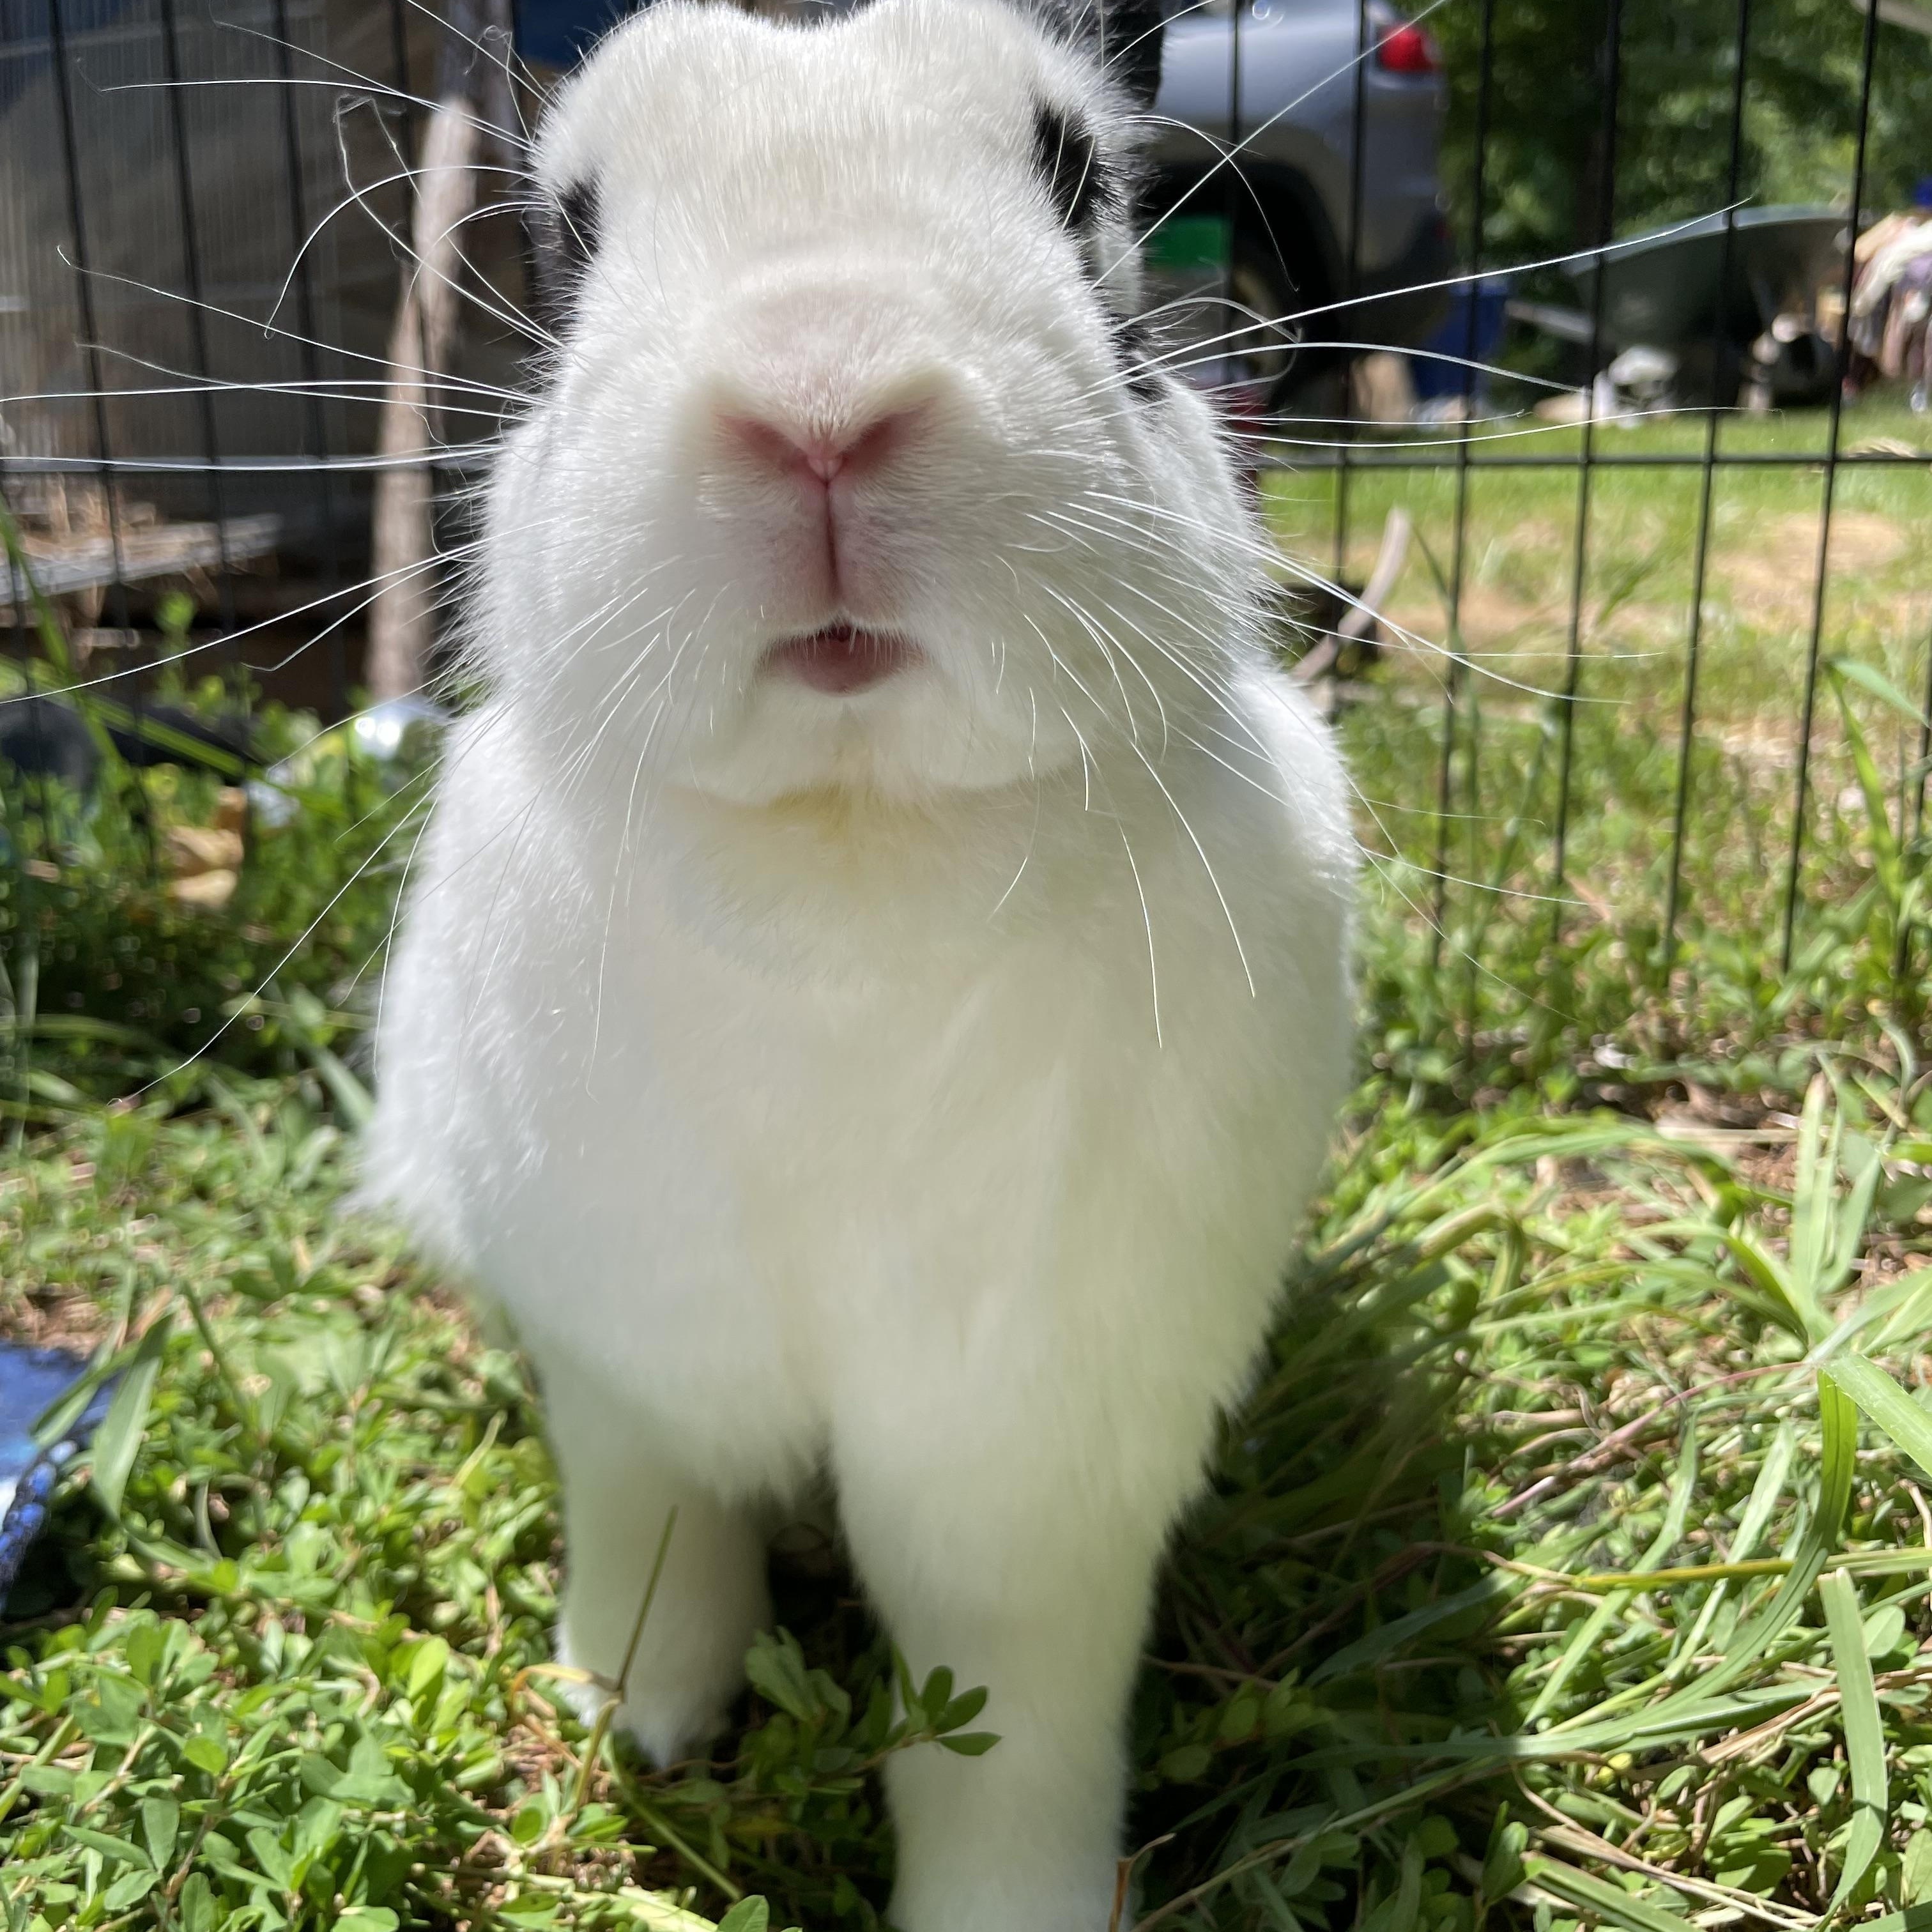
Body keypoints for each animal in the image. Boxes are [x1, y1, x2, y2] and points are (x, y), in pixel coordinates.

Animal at [364, 0, 1356, 1925]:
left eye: (1076, 178)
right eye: (568, 239)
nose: (819, 402)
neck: (850, 846)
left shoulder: (1035, 1451)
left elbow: (1009, 1716)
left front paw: (1010, 1911)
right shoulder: (629, 1369)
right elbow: (660, 1537)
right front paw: (633, 1719)